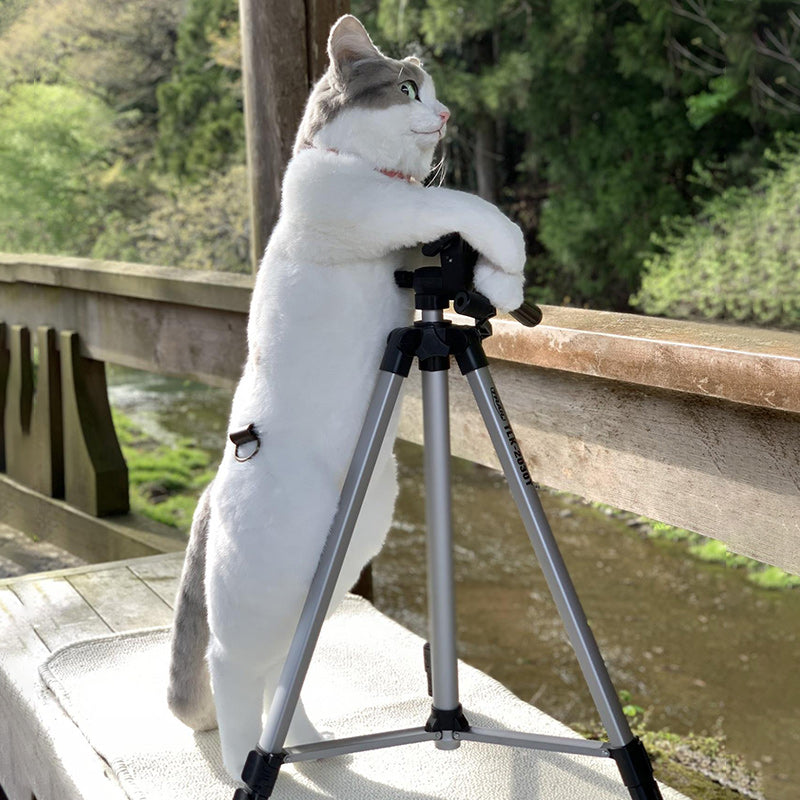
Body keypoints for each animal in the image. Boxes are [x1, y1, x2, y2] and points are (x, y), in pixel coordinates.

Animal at [166, 12, 524, 780]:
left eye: (435, 94)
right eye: (408, 89)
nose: (444, 115)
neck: (358, 164)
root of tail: (208, 493)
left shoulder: (409, 238)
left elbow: (450, 231)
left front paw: (501, 283)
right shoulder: (371, 206)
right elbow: (456, 202)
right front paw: (512, 249)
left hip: (330, 574)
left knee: (283, 669)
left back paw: (305, 744)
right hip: (263, 587)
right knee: (232, 666)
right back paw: (245, 759)